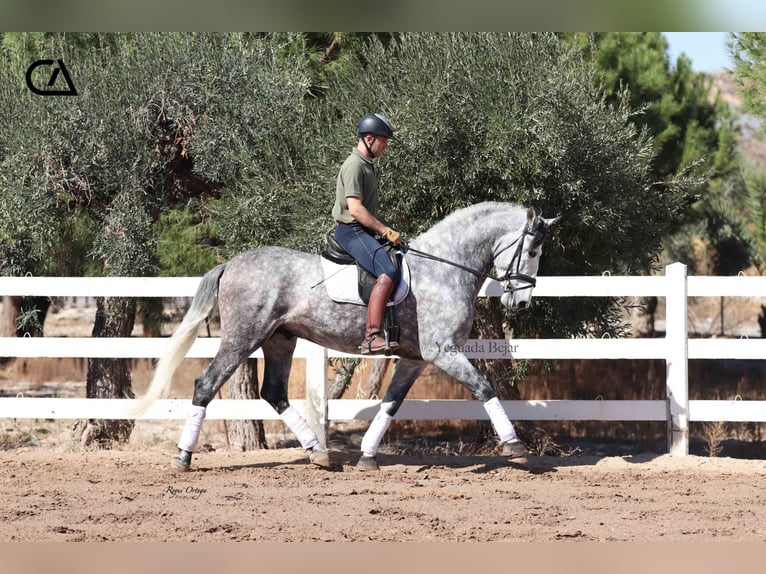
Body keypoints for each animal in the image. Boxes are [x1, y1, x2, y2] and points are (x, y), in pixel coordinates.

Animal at [135, 202, 560, 472]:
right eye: (532, 250)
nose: (521, 302)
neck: (446, 268)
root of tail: (231, 263)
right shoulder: (443, 352)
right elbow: (485, 388)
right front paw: (515, 446)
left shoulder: (415, 358)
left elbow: (391, 404)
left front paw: (367, 456)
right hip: (243, 337)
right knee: (206, 385)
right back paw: (183, 458)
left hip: (279, 339)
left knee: (274, 392)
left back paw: (318, 453)